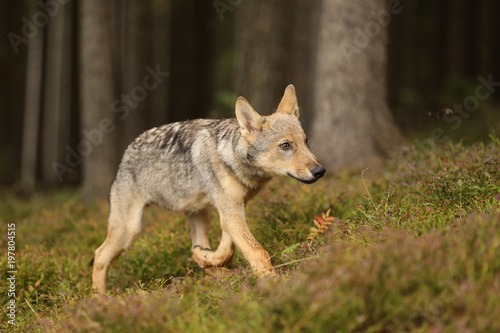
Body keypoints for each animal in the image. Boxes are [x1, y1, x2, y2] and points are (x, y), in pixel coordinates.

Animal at [92, 83, 326, 294]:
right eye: (285, 145)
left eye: (306, 142)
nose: (320, 170)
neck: (233, 159)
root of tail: (126, 154)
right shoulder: (231, 212)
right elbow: (257, 251)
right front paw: (274, 284)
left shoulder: (234, 209)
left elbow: (228, 249)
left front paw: (211, 259)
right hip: (129, 231)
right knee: (99, 255)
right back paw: (99, 300)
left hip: (199, 215)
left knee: (195, 247)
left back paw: (209, 263)